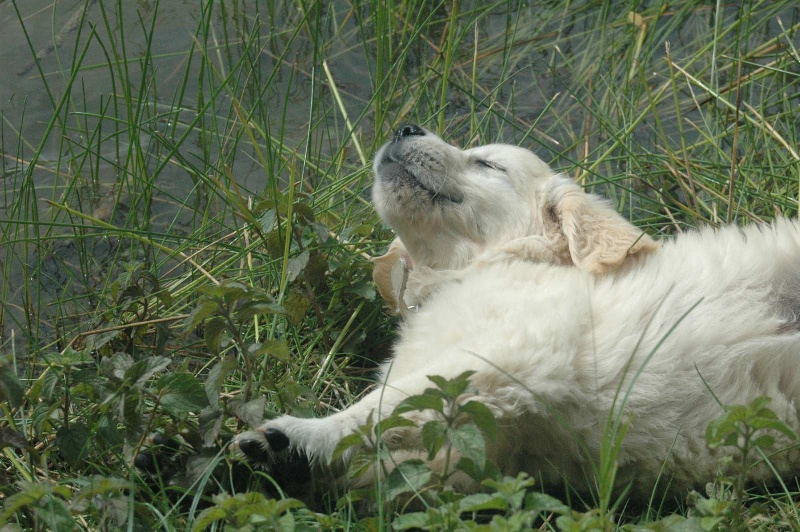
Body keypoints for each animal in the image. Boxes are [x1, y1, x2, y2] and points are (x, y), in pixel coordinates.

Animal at [234, 124, 800, 498]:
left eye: (487, 164)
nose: (406, 125)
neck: (482, 267)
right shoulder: (494, 443)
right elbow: (413, 463)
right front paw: (297, 468)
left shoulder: (515, 350)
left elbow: (385, 402)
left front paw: (295, 437)